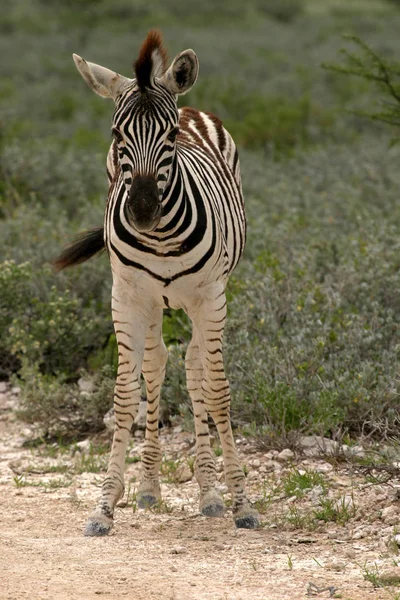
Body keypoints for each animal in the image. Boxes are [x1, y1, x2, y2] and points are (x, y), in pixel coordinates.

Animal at [55, 29, 260, 536]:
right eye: (116, 135)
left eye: (169, 137)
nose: (144, 211)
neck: (162, 237)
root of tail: (191, 105)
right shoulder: (127, 297)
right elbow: (126, 394)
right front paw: (105, 505)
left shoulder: (211, 298)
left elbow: (218, 391)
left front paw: (240, 501)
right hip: (153, 302)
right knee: (157, 364)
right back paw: (149, 486)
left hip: (202, 298)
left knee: (194, 368)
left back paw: (209, 492)